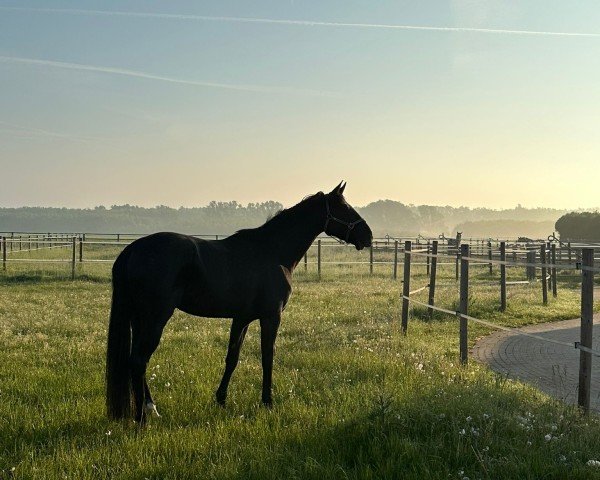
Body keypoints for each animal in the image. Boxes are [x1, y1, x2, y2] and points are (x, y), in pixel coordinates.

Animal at [105, 182, 372, 422]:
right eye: (345, 207)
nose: (367, 236)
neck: (272, 252)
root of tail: (132, 250)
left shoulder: (241, 318)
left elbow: (232, 358)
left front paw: (221, 399)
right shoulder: (271, 317)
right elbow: (267, 357)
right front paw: (267, 402)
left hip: (139, 318)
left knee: (136, 361)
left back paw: (151, 408)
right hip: (156, 317)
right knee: (139, 360)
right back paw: (142, 418)